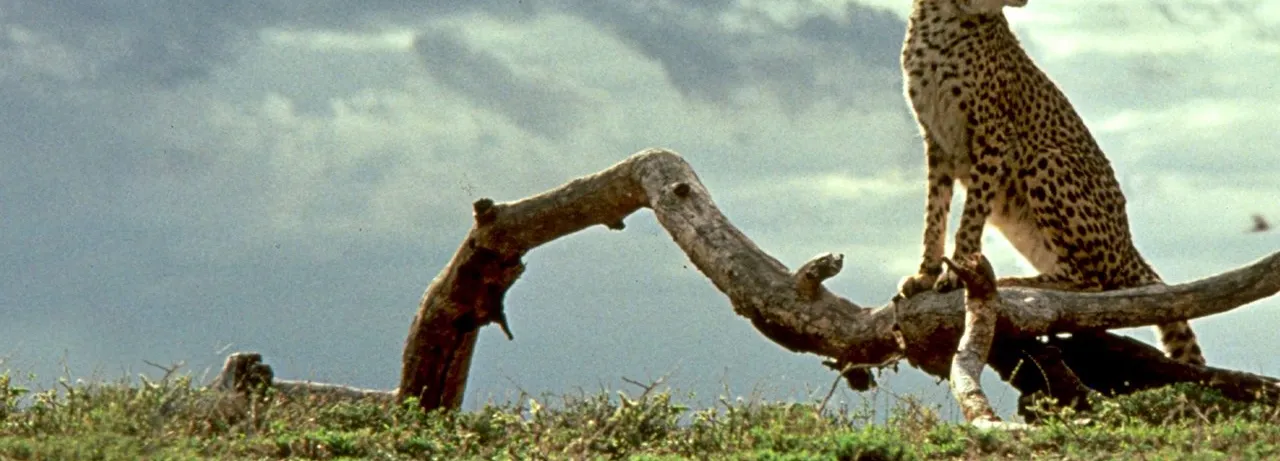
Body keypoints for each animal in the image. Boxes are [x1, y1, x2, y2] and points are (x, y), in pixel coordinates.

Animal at [894, 0, 1205, 366]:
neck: (948, 17)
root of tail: (1129, 248)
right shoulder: (937, 141)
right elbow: (934, 214)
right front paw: (925, 274)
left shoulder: (994, 135)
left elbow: (970, 218)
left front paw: (956, 273)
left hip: (1047, 159)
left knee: (1093, 284)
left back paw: (1016, 283)